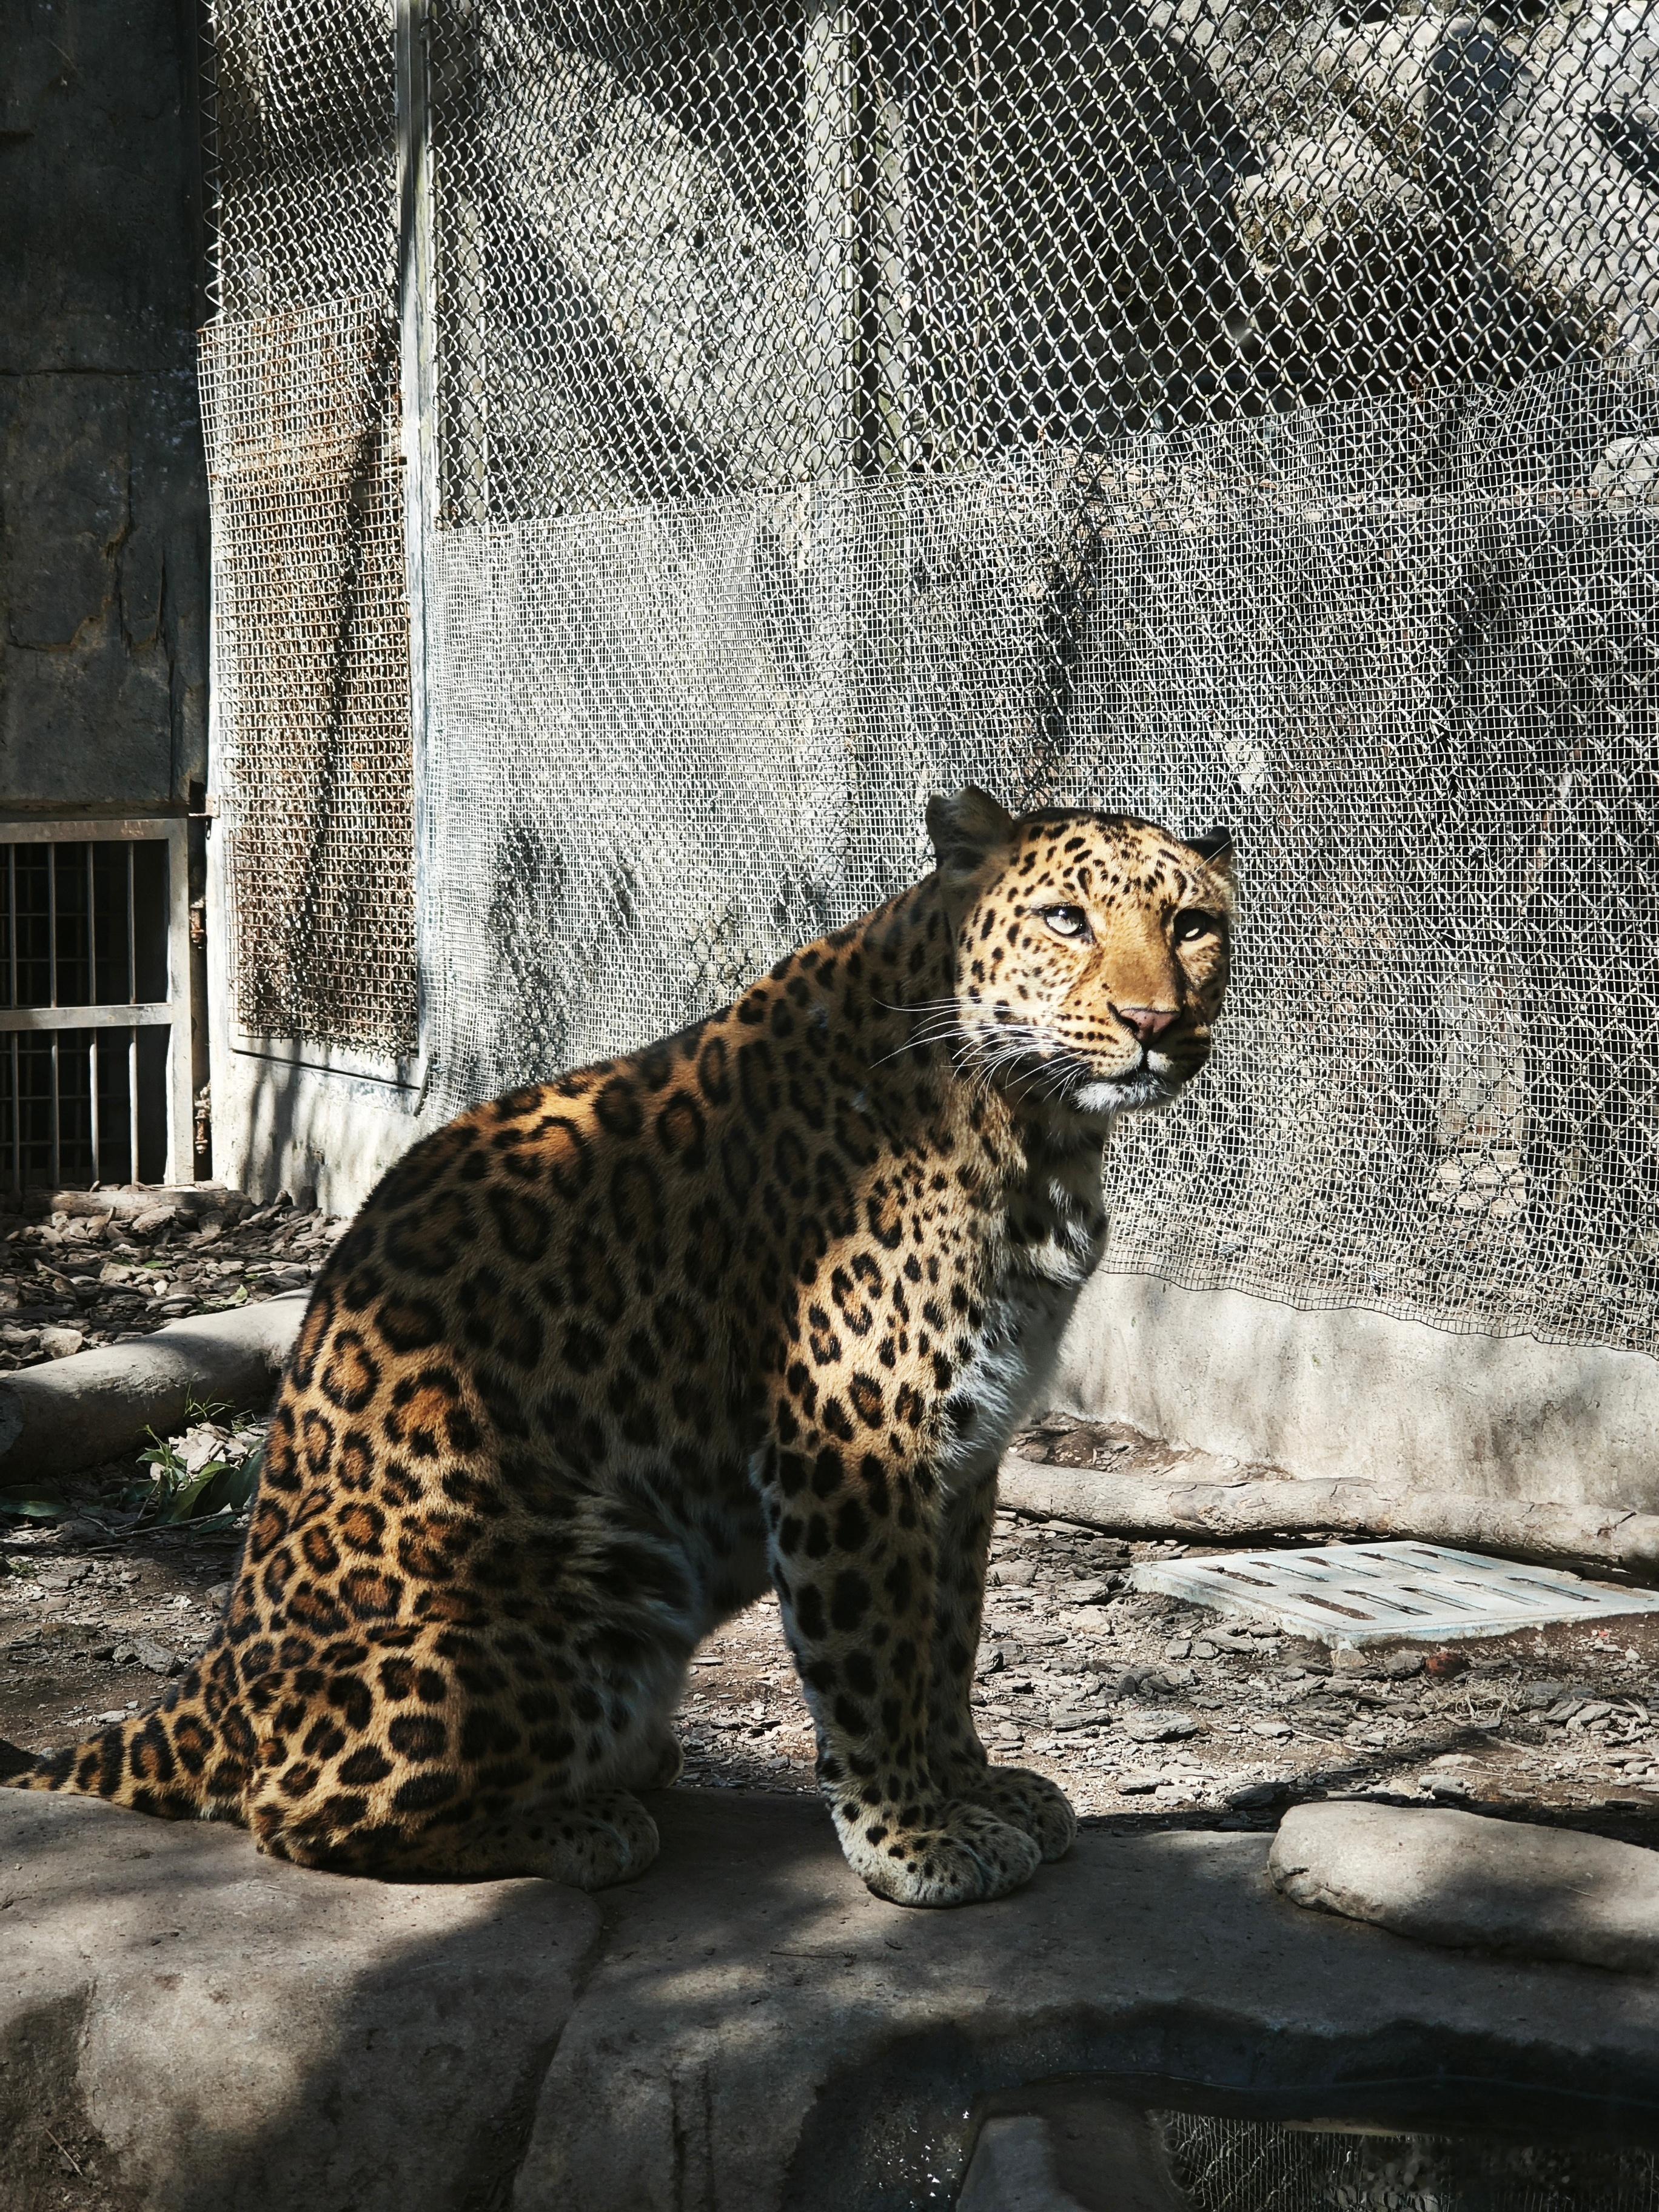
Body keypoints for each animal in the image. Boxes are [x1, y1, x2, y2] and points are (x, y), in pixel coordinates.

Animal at [0, 787, 1238, 1911]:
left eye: (1192, 925)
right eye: (1067, 919)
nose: (1153, 1023)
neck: (1040, 1133)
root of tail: (210, 1675)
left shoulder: (969, 1447)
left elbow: (949, 1638)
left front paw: (976, 1788)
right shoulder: (853, 1437)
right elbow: (877, 1651)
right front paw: (914, 1837)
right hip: (584, 1582)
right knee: (294, 1810)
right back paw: (587, 1823)